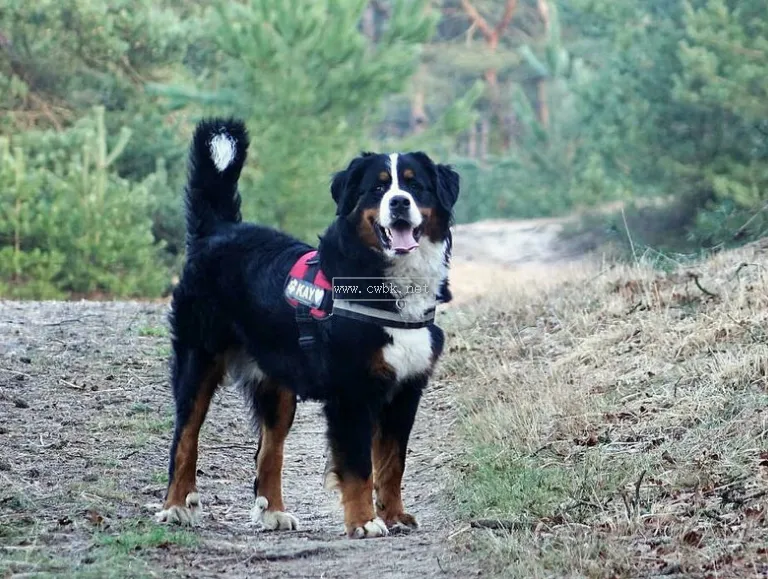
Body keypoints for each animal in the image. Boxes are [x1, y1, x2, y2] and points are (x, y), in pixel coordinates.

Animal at [153, 118, 460, 540]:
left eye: (416, 186)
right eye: (378, 188)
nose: (399, 202)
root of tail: (219, 231)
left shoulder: (405, 391)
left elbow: (392, 463)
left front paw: (395, 515)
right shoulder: (352, 392)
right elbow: (359, 466)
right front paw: (363, 521)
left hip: (277, 384)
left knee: (269, 452)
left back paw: (273, 513)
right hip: (198, 360)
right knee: (185, 438)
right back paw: (176, 506)